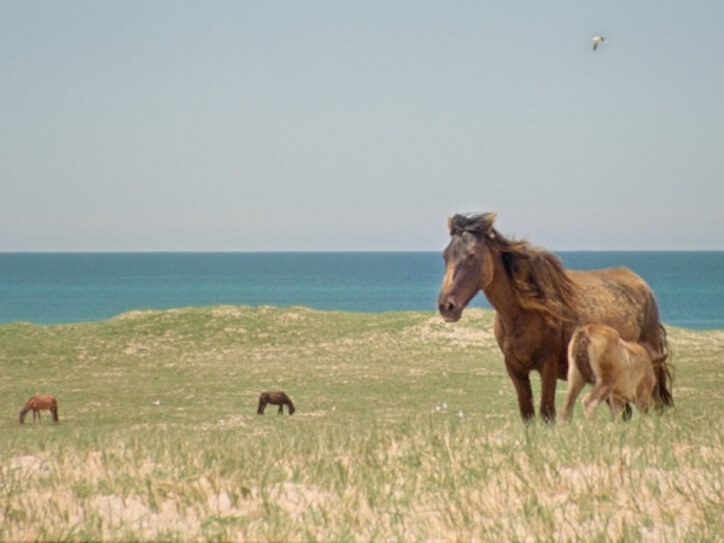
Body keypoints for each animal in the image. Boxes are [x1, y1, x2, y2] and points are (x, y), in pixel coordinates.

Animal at [438, 211, 676, 420]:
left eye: (472, 255)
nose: (446, 306)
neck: (522, 315)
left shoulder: (548, 368)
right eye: (445, 255)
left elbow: (547, 413)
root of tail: (643, 287)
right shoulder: (516, 370)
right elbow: (527, 414)